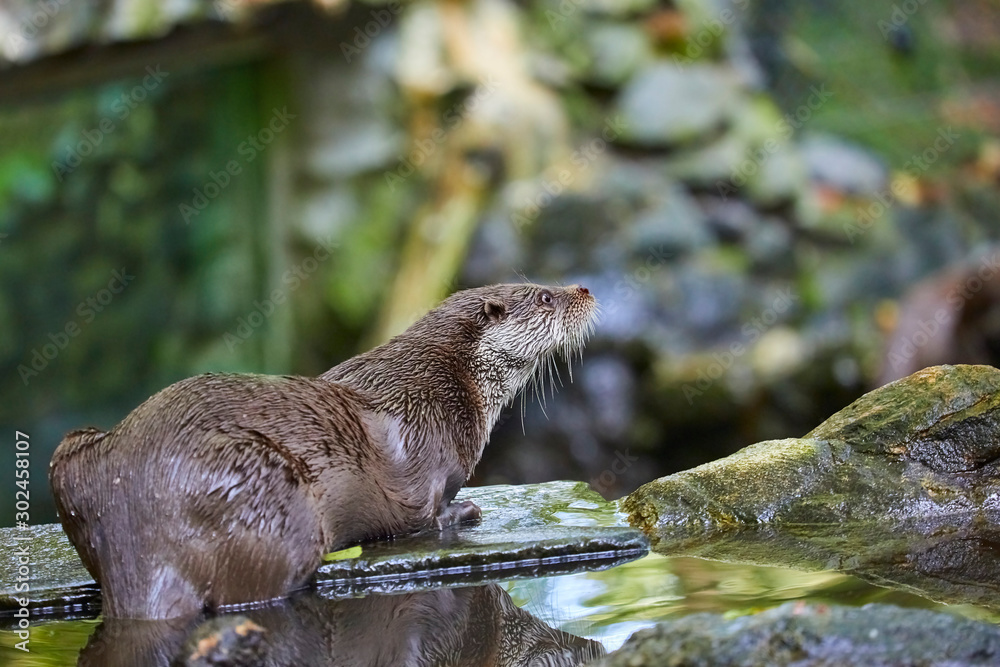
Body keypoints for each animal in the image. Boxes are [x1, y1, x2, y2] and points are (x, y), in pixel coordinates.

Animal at [50, 283, 597, 619]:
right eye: (545, 295)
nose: (585, 289)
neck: (448, 381)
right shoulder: (426, 446)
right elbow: (423, 514)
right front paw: (462, 511)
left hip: (70, 456)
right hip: (266, 485)